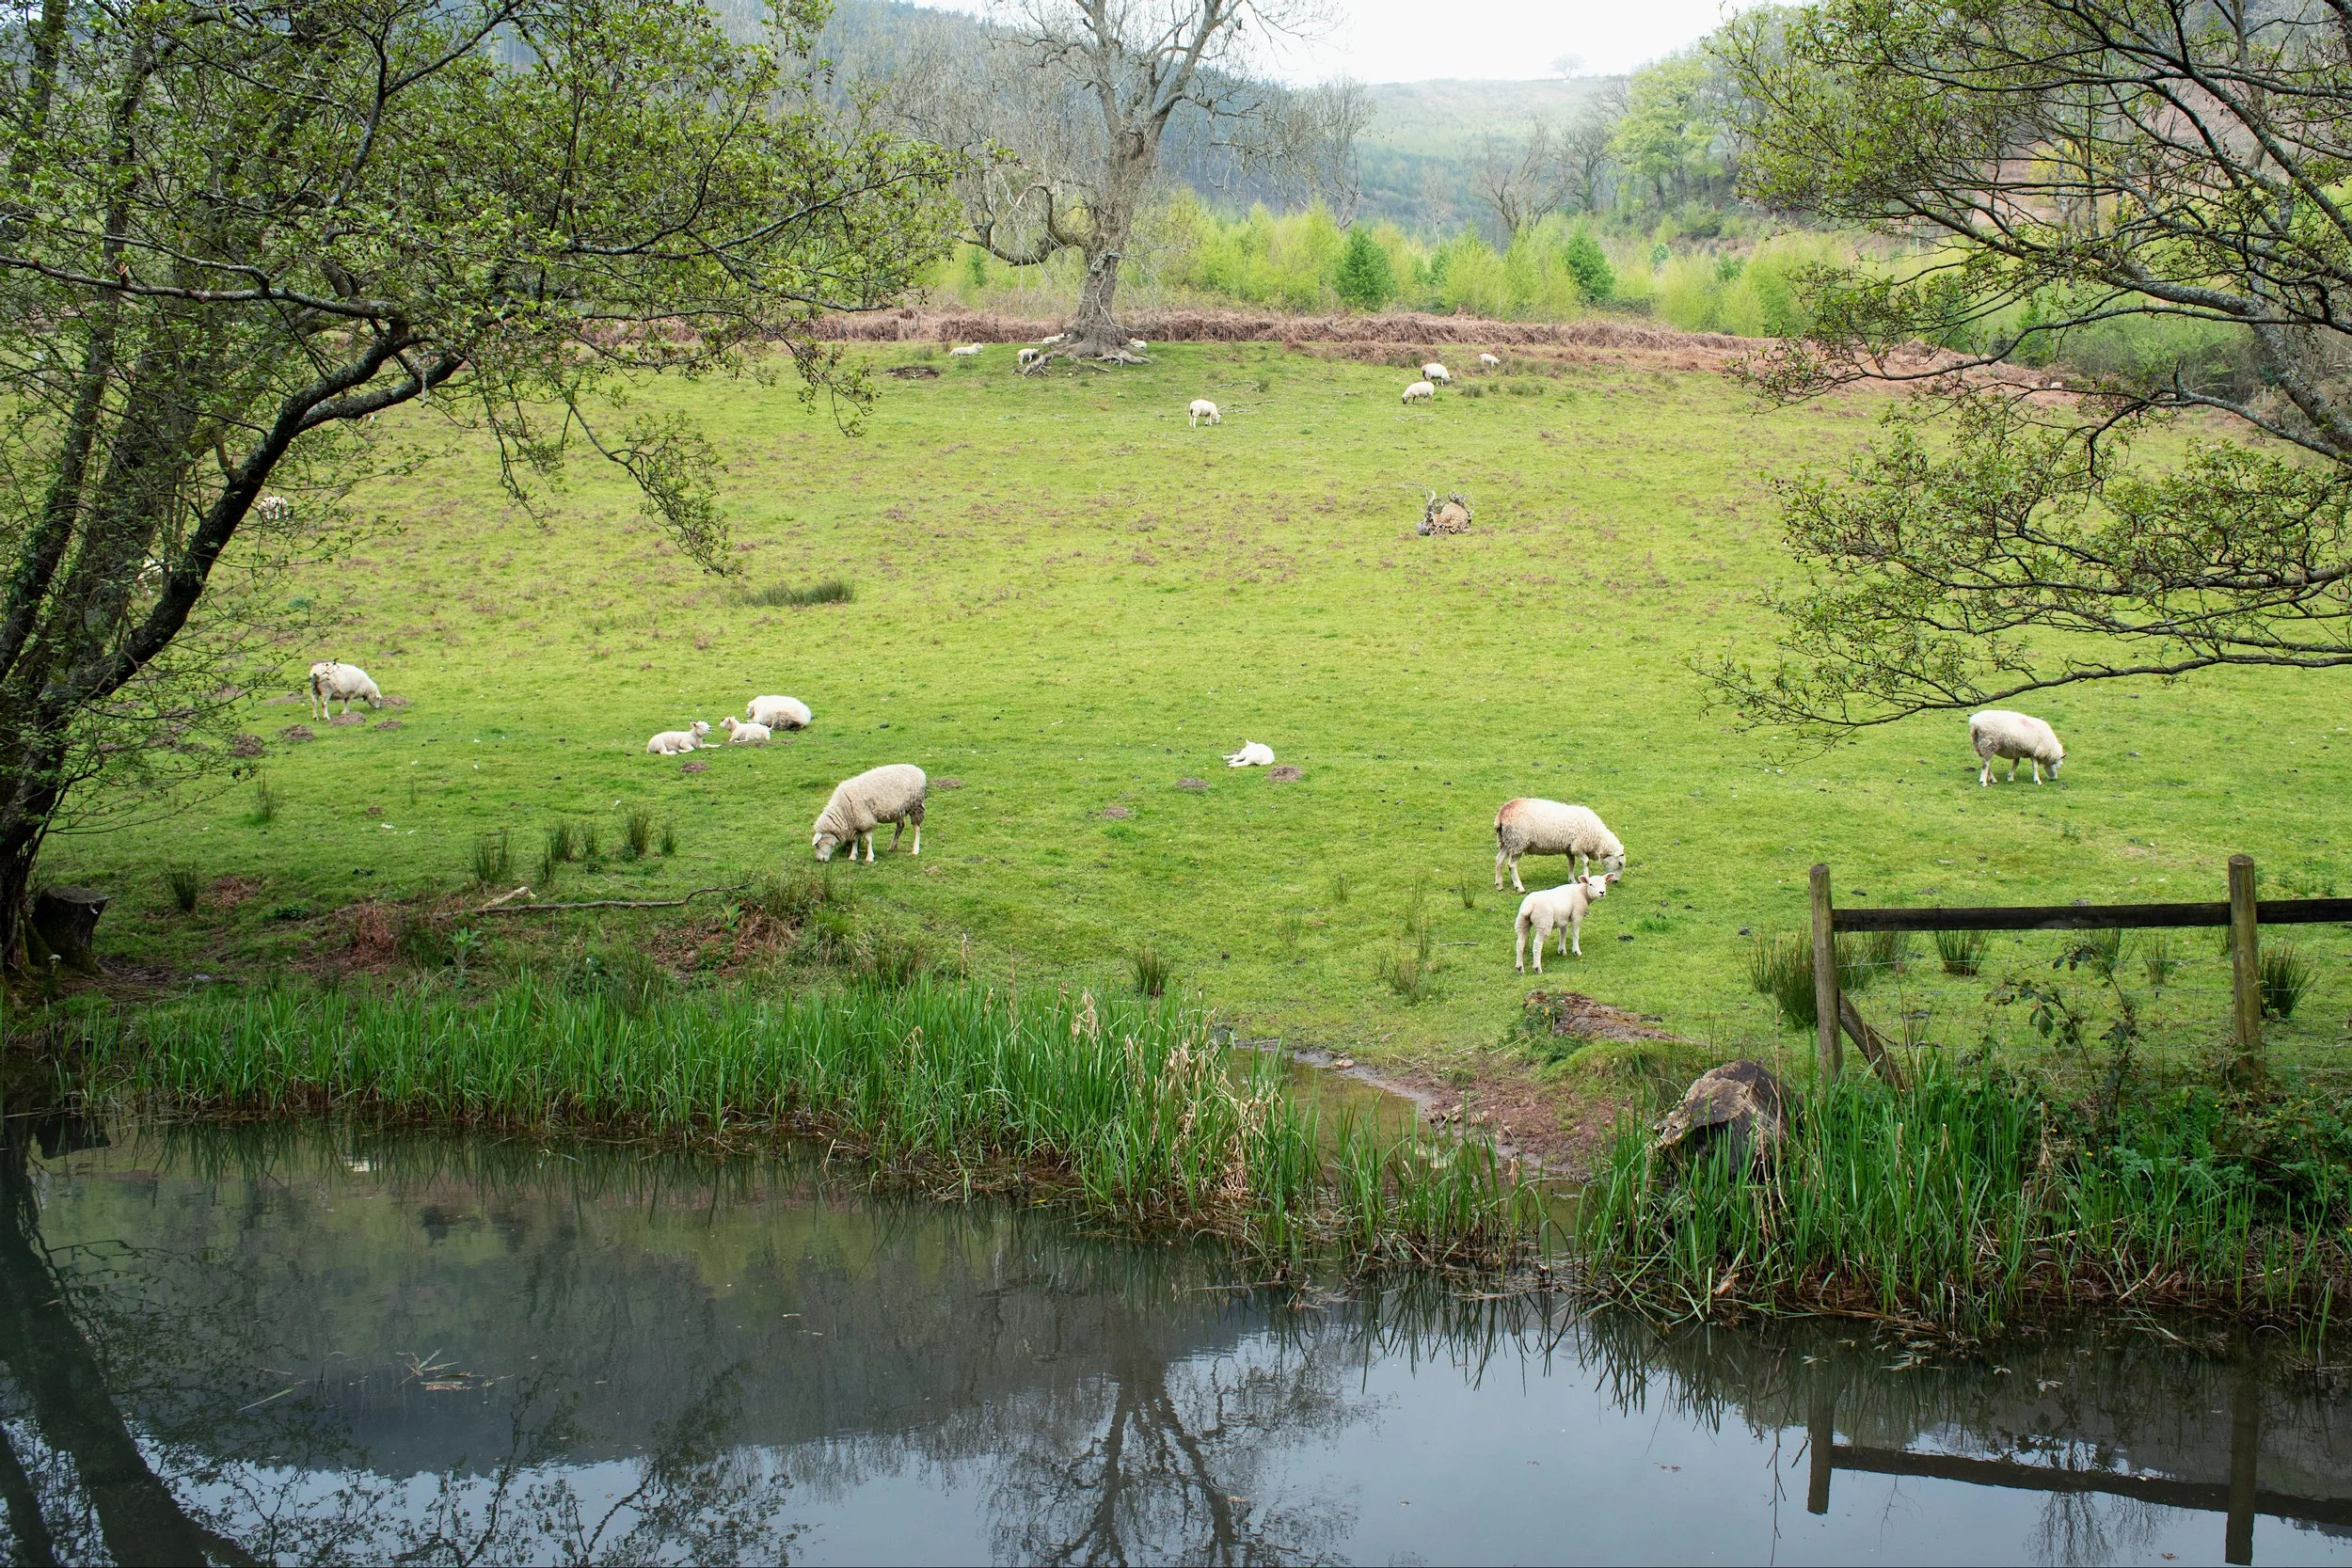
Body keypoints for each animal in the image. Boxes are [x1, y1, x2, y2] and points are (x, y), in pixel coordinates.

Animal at [1494, 798, 1625, 891]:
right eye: (1619, 864)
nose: (1616, 881)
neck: (1598, 839)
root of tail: (1501, 813)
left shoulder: (1569, 848)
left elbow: (1571, 863)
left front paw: (1572, 880)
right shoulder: (1578, 847)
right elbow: (1586, 862)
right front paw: (1586, 879)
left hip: (1508, 842)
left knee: (1499, 860)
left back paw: (1499, 884)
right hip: (1518, 842)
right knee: (1511, 865)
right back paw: (1519, 887)